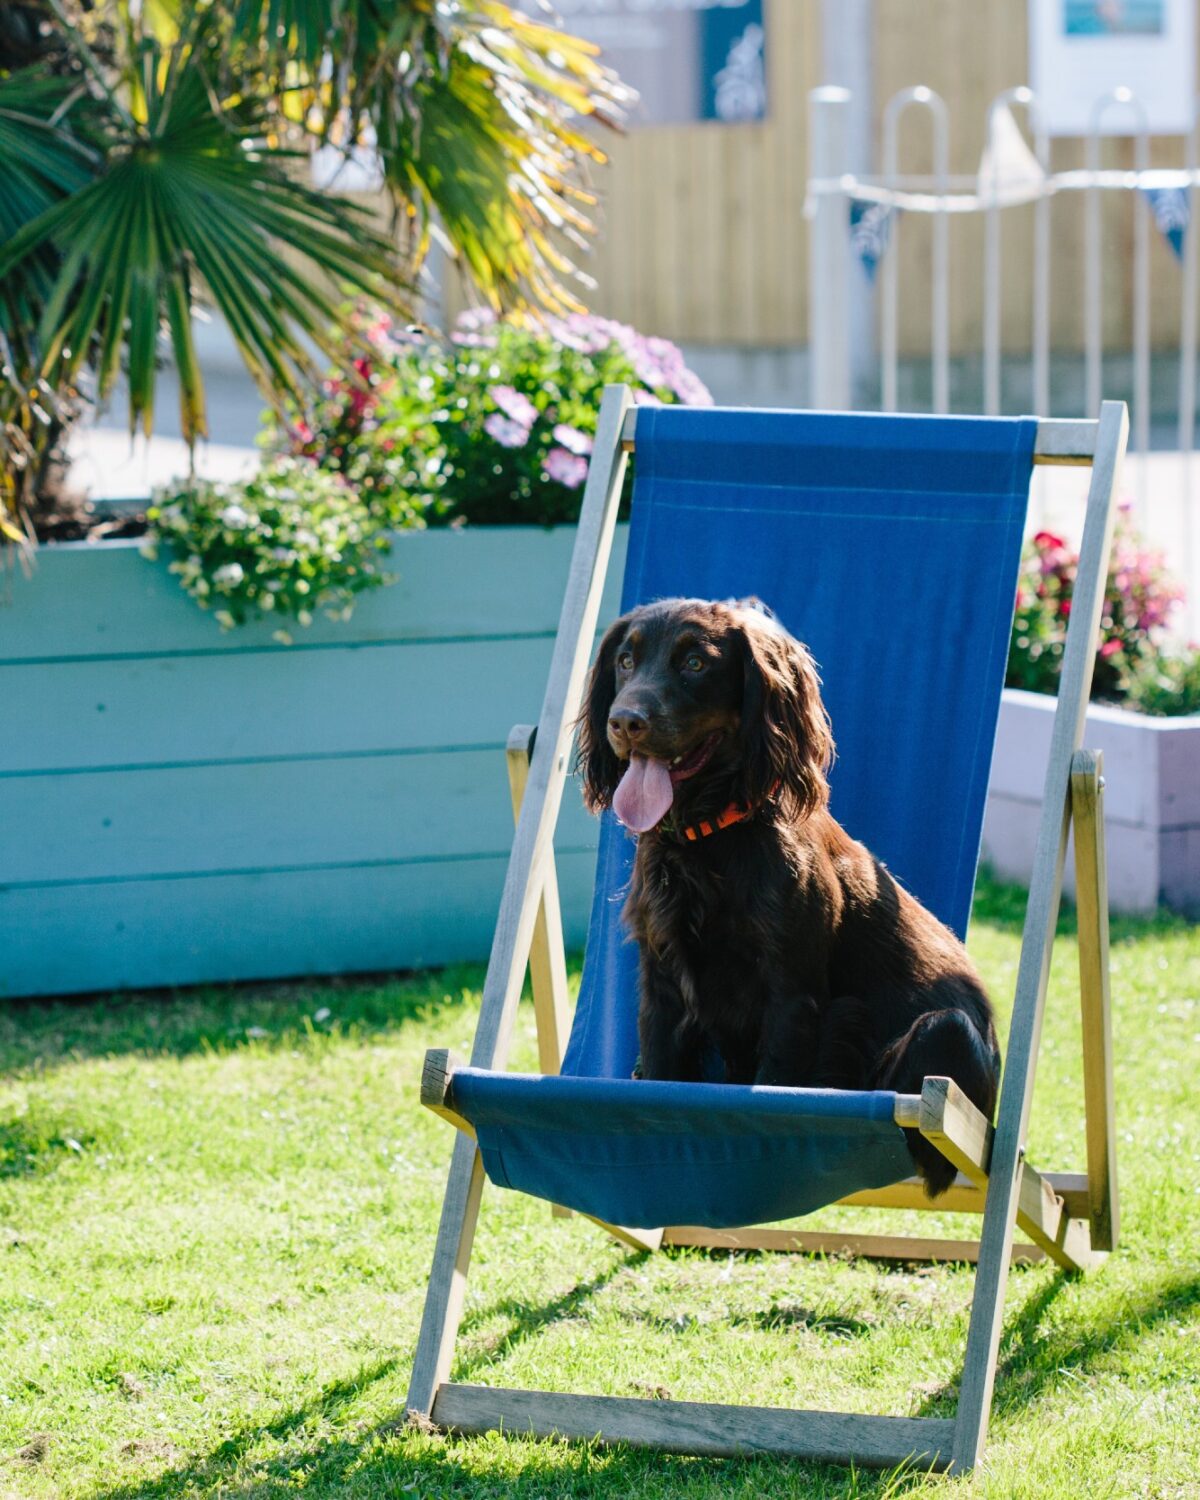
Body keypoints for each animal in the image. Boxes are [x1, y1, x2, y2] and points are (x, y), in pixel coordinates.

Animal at [576, 597, 996, 1194]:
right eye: (625, 660)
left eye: (696, 664)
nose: (625, 722)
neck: (711, 839)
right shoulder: (660, 984)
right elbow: (657, 1071)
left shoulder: (791, 995)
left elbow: (772, 1086)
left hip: (949, 1033)